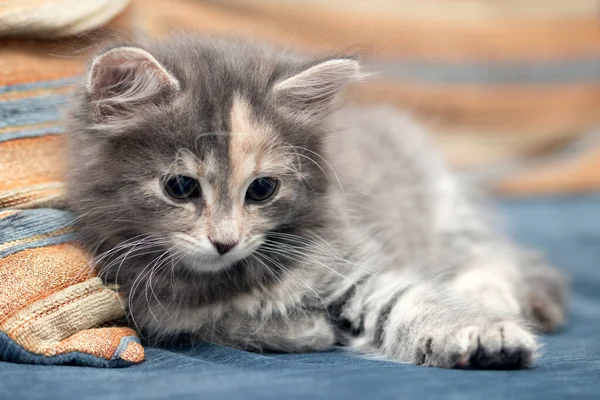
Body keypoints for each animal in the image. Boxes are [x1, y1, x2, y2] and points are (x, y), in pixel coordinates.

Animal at [68, 34, 564, 368]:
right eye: (181, 188)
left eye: (262, 189)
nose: (225, 242)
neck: (230, 278)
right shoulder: (158, 312)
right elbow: (222, 325)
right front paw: (307, 329)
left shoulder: (349, 263)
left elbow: (412, 302)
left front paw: (482, 335)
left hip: (443, 206)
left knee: (495, 252)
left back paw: (488, 293)